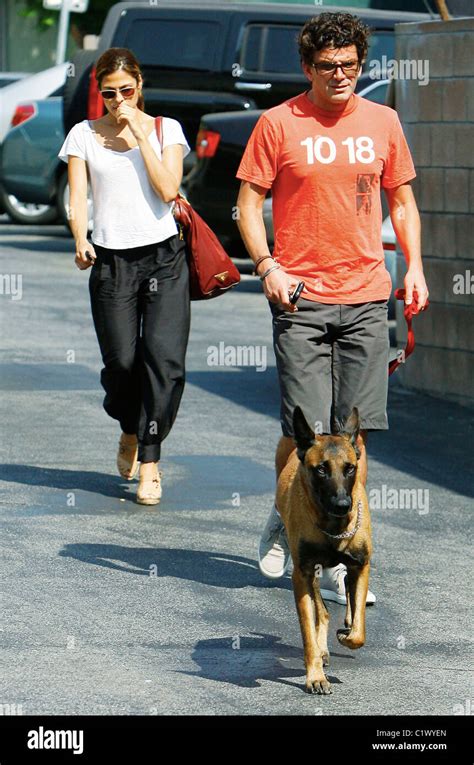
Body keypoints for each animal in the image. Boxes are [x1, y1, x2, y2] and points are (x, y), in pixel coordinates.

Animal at [276, 406, 372, 692]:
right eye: (321, 469)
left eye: (350, 468)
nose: (343, 504)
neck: (333, 526)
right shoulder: (303, 575)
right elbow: (309, 628)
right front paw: (315, 675)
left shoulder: (361, 565)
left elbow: (359, 632)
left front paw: (349, 633)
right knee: (323, 612)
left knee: (346, 598)